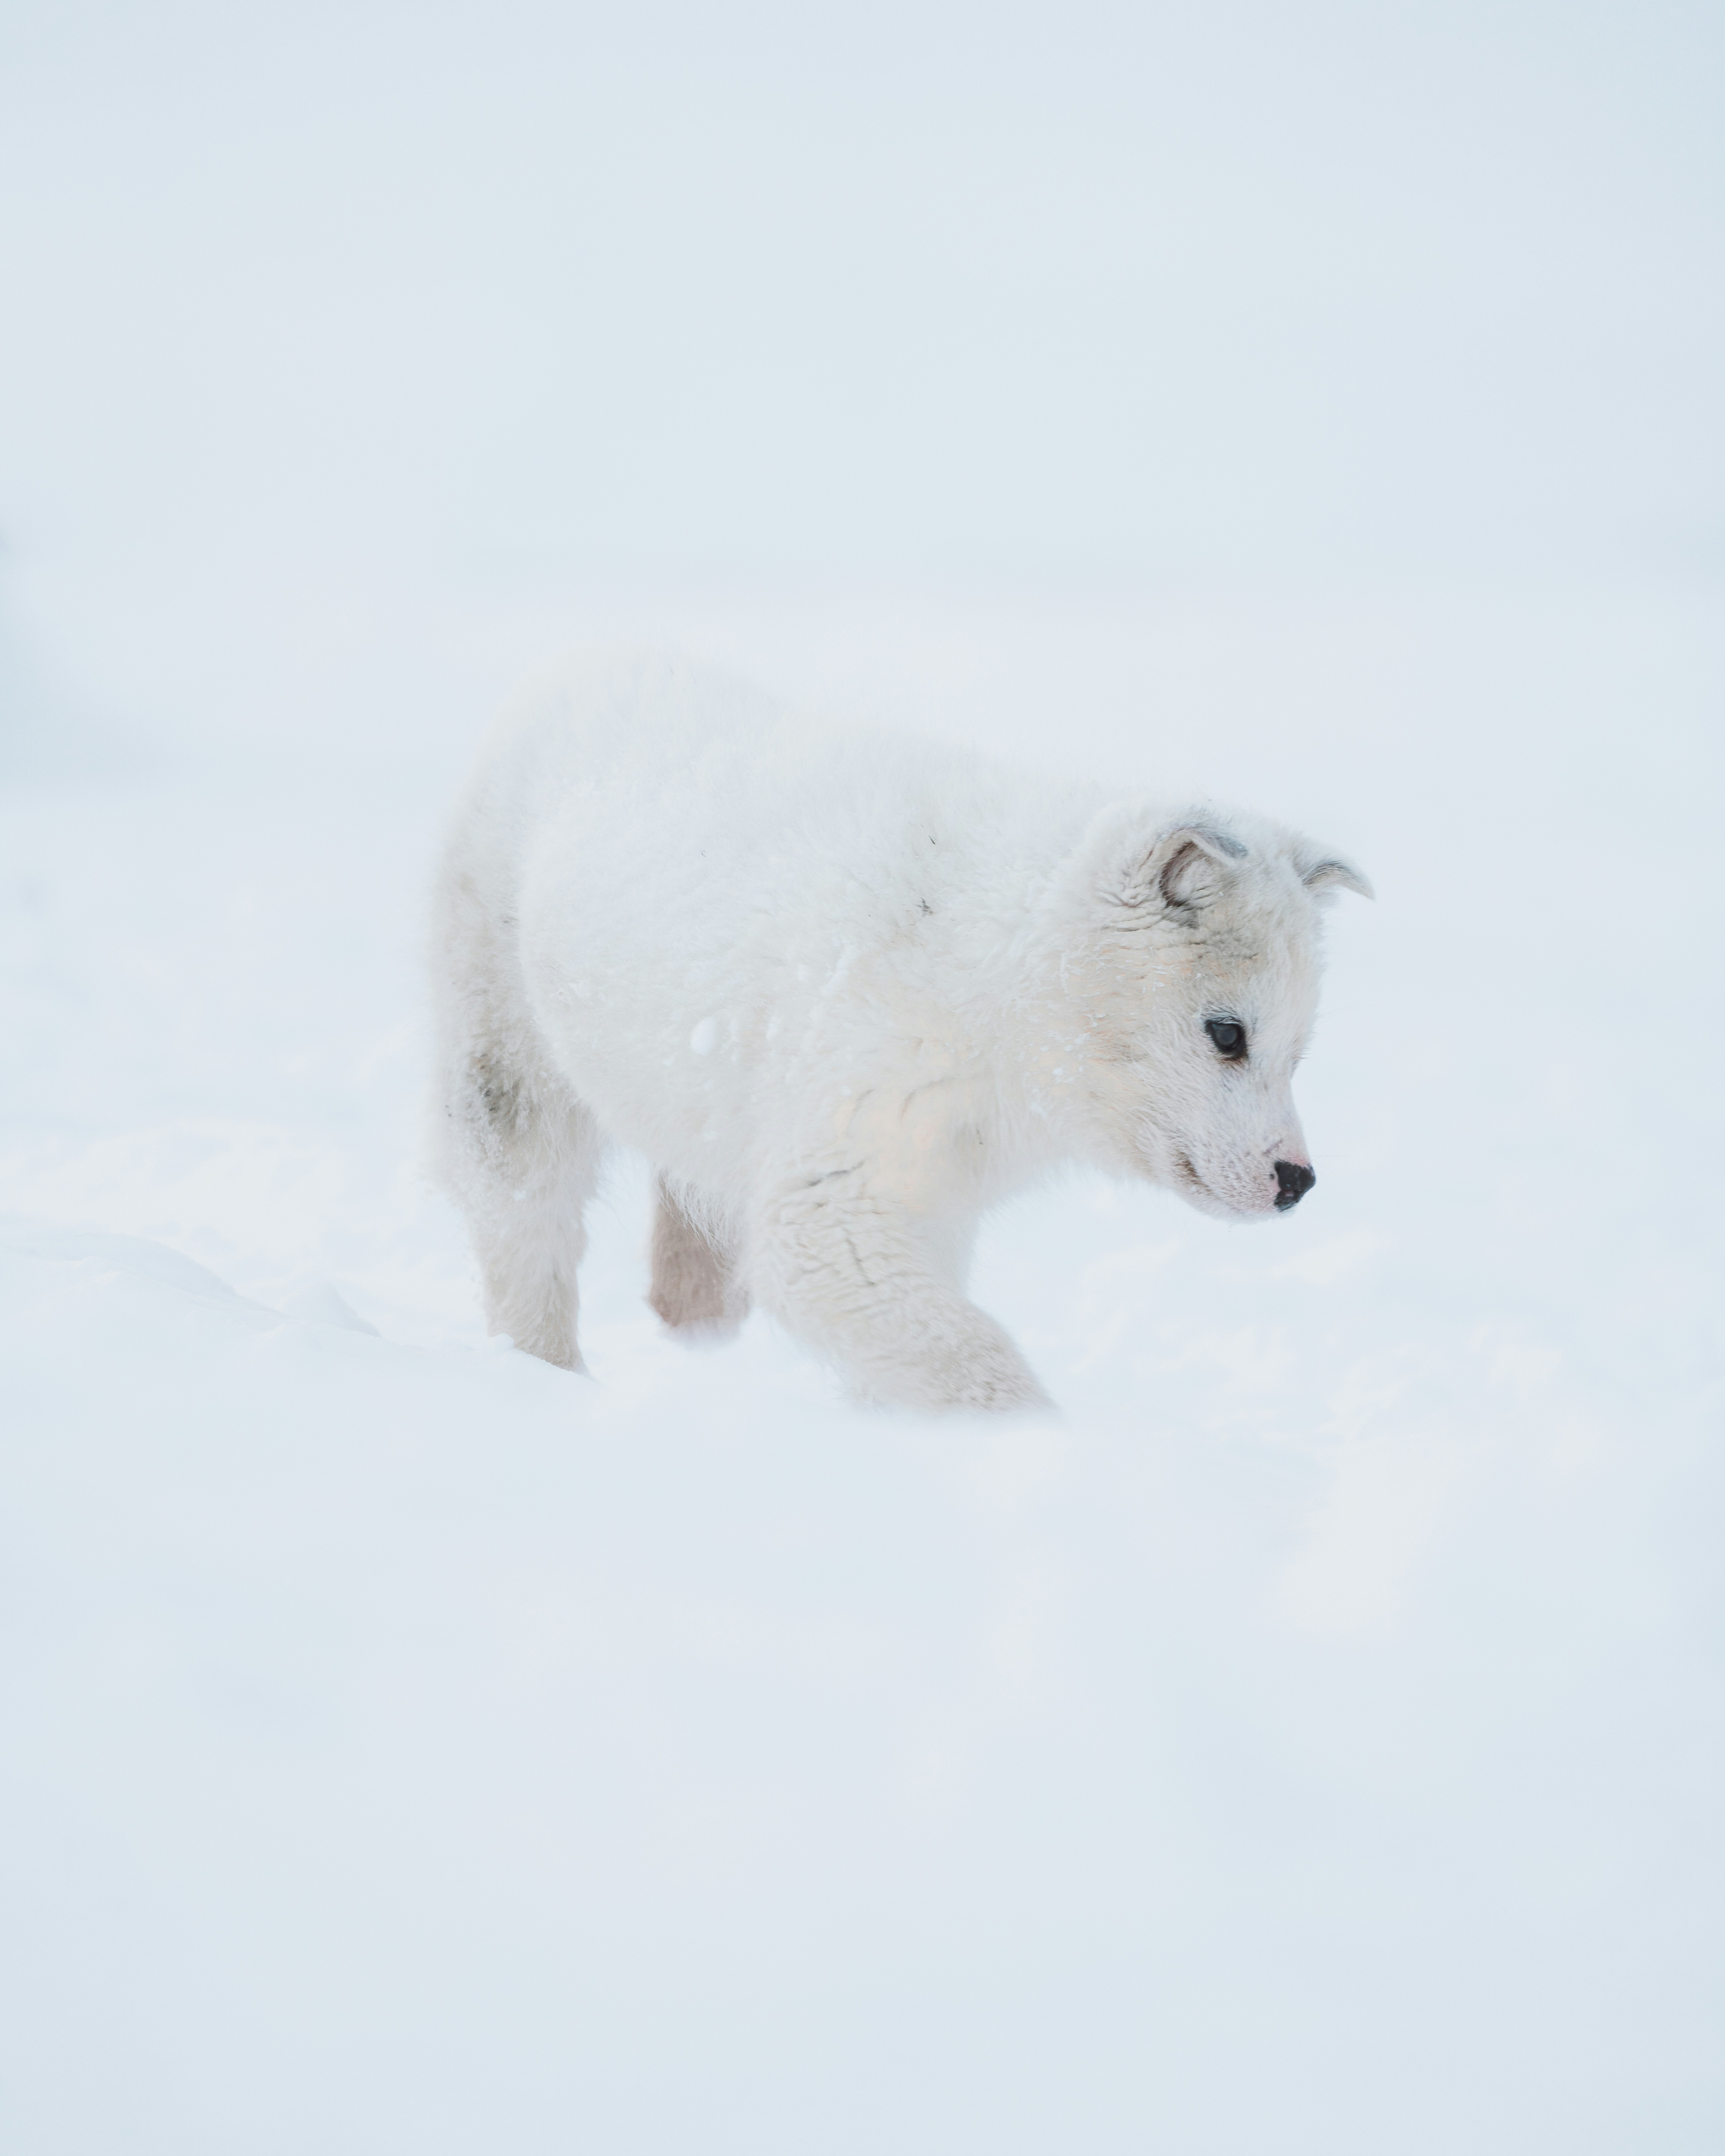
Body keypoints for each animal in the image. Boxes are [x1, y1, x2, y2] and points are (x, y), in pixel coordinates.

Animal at [429, 652, 1370, 1411]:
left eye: (1298, 1052)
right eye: (1227, 1033)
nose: (1298, 1182)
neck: (994, 970)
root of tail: (577, 664)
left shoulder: (934, 1198)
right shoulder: (844, 1168)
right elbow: (966, 1352)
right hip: (501, 1042)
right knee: (525, 1220)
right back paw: (543, 1379)